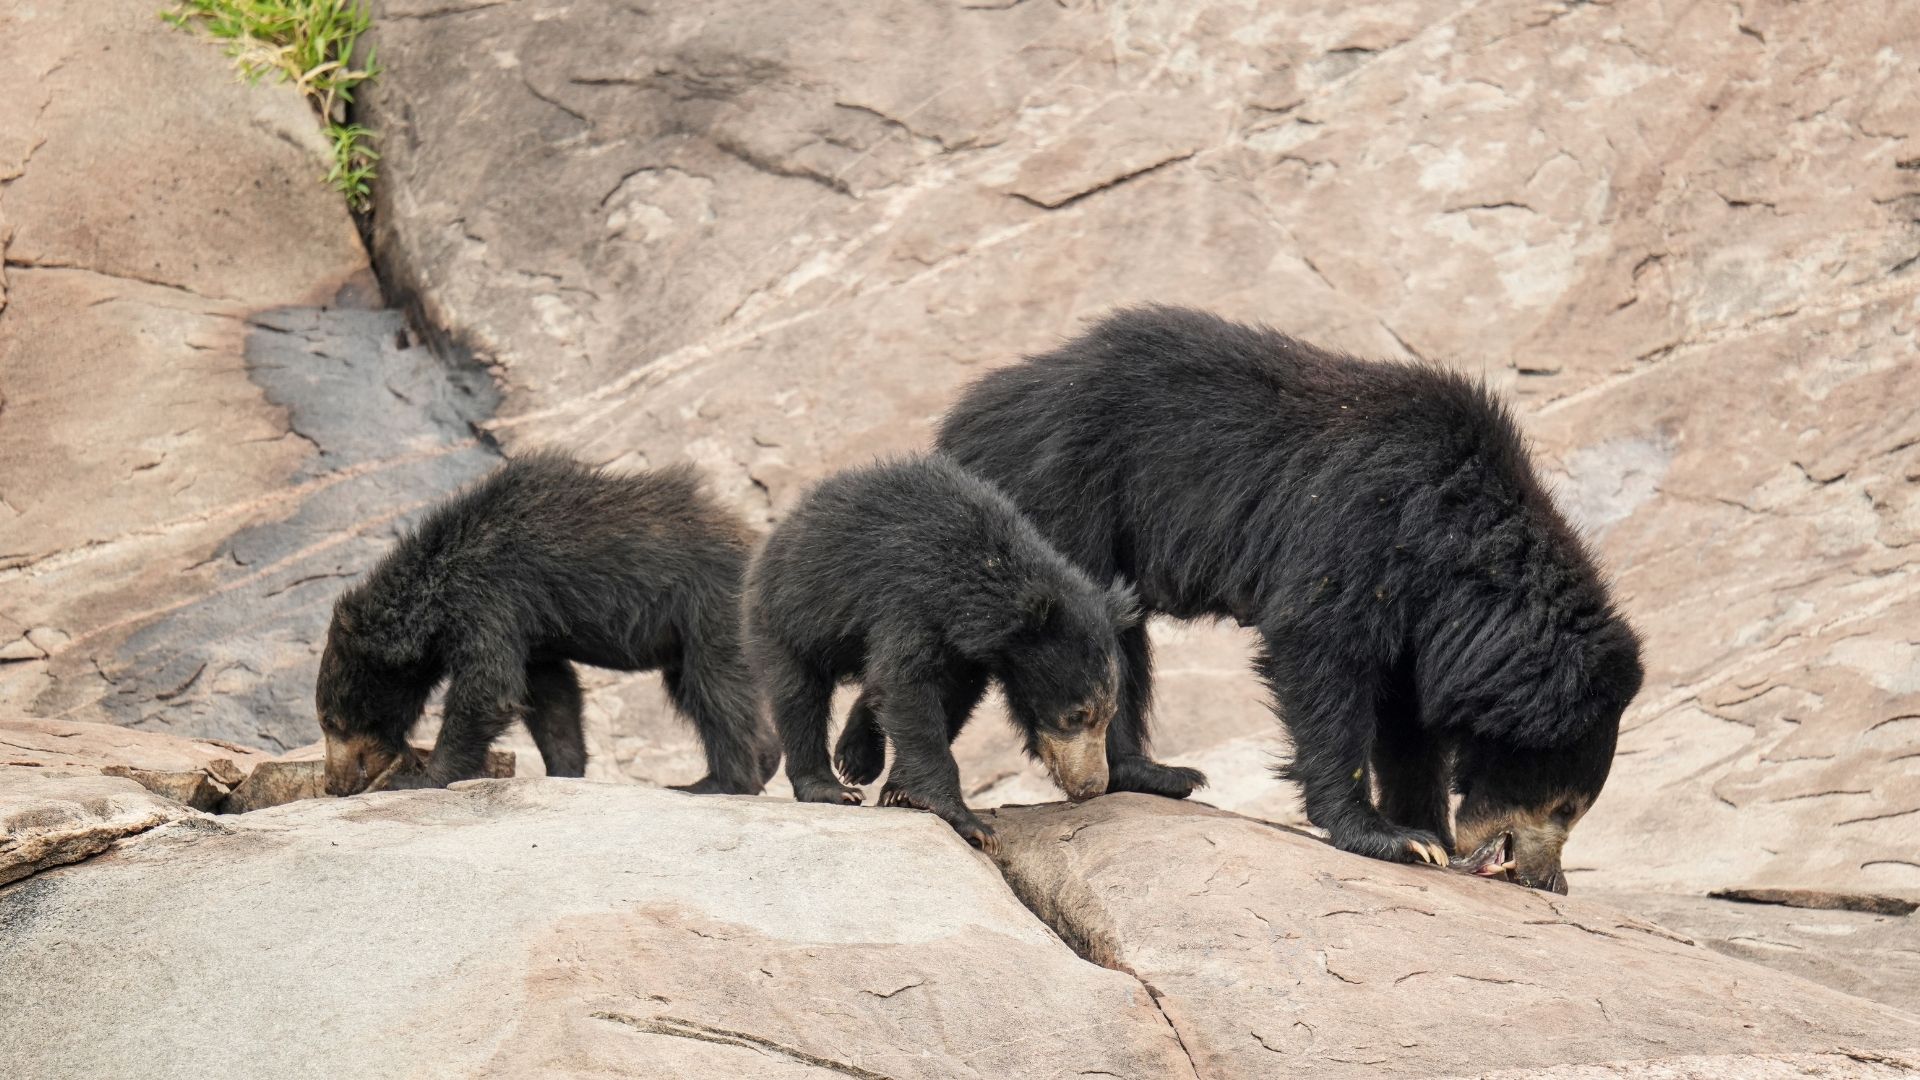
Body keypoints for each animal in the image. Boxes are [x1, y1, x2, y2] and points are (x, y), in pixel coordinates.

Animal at [316, 451, 780, 796]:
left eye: (331, 722)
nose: (334, 784)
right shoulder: (531, 631)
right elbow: (552, 694)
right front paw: (564, 768)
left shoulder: (490, 596)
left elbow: (489, 688)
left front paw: (416, 777)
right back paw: (766, 758)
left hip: (710, 606)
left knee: (716, 689)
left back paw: (718, 782)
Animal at [744, 454, 1139, 852]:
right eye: (1076, 716)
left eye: (1109, 714)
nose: (1092, 787)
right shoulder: (909, 601)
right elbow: (909, 688)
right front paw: (973, 825)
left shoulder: (968, 657)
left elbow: (948, 699)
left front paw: (899, 791)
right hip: (790, 614)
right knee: (799, 697)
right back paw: (832, 788)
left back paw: (857, 758)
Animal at [935, 306, 1643, 891]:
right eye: (1564, 806)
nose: (1546, 879)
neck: (1464, 548)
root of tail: (965, 417)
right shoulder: (1365, 523)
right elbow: (1321, 651)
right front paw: (1389, 837)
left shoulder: (1422, 612)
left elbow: (1407, 717)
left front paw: (1431, 836)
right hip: (1063, 497)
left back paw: (1150, 773)